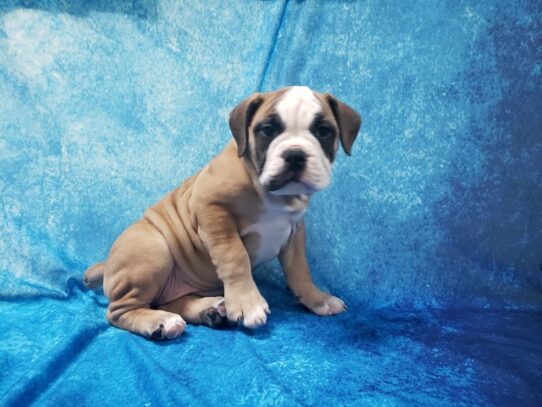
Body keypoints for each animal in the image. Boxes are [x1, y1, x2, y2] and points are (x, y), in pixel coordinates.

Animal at [85, 87, 364, 342]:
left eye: (323, 131)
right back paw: (161, 322)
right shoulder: (211, 209)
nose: (295, 154)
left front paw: (317, 299)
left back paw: (209, 310)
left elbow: (300, 270)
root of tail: (108, 264)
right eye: (267, 130)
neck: (274, 195)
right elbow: (235, 257)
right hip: (153, 249)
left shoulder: (295, 232)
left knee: (169, 301)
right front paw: (247, 303)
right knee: (119, 311)